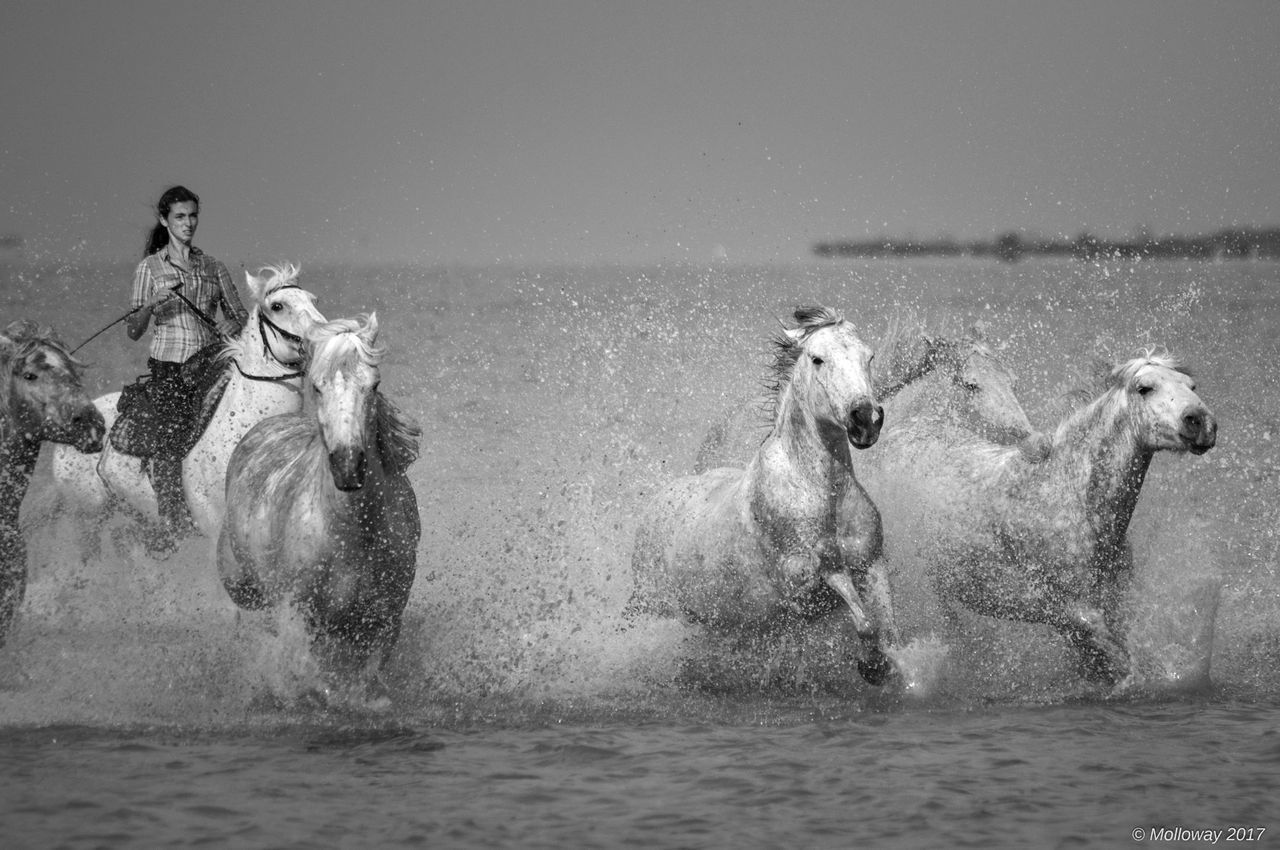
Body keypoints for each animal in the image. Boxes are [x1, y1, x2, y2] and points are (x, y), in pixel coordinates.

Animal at [632, 305, 901, 686]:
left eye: (869, 356)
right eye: (818, 359)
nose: (865, 419)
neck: (822, 494)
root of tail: (652, 508)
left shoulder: (872, 562)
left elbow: (885, 626)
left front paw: (884, 665)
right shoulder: (805, 577)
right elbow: (862, 618)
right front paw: (872, 665)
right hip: (653, 607)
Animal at [875, 348, 1213, 686]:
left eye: (1191, 386)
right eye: (1145, 388)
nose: (1201, 422)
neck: (1065, 498)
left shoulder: (1112, 603)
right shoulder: (1053, 604)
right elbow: (1109, 649)